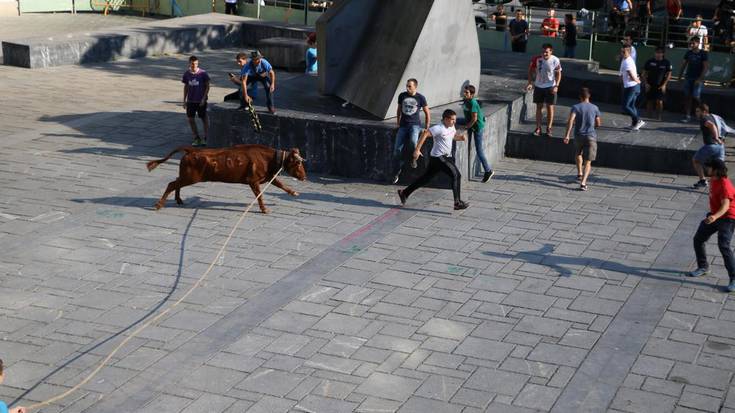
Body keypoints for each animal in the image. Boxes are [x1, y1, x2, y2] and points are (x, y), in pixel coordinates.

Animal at [145, 143, 306, 212]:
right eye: (298, 163)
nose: (304, 177)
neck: (267, 158)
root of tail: (190, 150)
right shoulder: (253, 181)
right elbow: (259, 195)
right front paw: (264, 209)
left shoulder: (268, 176)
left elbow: (281, 184)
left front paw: (294, 193)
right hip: (191, 177)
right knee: (172, 184)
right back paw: (159, 205)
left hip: (186, 176)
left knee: (175, 183)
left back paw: (178, 200)